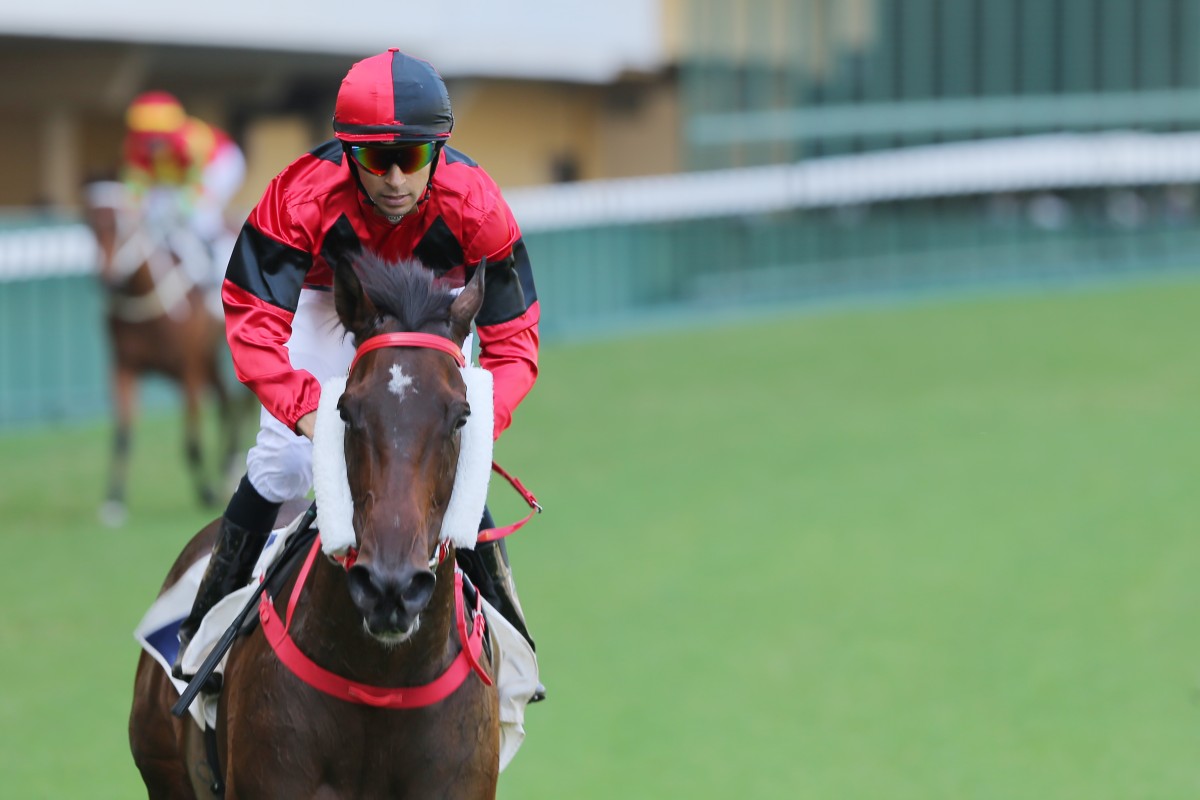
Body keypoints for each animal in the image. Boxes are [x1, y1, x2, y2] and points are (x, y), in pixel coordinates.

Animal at [82, 181, 246, 525]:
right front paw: (114, 500)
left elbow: (191, 441)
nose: (108, 279)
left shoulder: (188, 370)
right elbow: (122, 434)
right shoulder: (124, 368)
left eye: (122, 224)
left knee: (239, 405)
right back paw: (227, 470)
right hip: (209, 360)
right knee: (227, 404)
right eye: (89, 224)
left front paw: (206, 492)